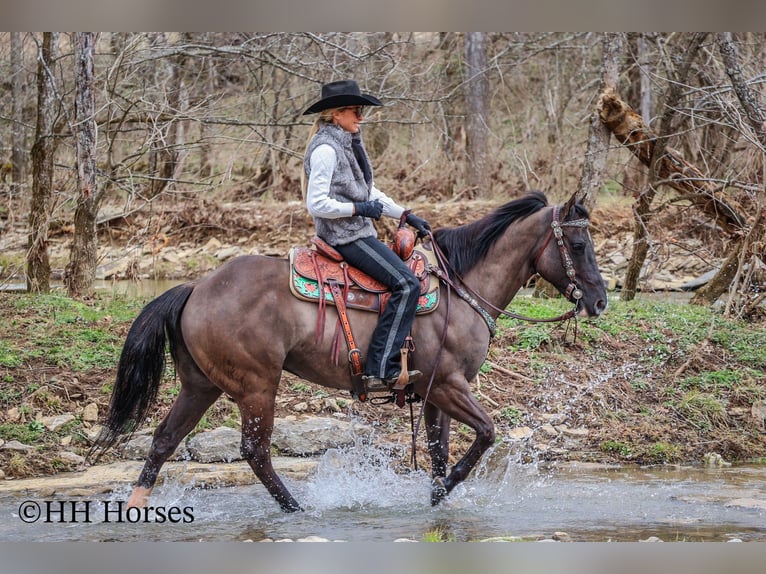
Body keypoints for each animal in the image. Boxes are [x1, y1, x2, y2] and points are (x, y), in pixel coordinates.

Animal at [91, 190, 607, 512]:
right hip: (257, 387)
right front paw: (445, 487)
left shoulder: (436, 394)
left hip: (201, 386)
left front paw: (437, 497)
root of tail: (196, 287)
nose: (600, 301)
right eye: (578, 243)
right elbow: (485, 434)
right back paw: (298, 510)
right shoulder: (448, 385)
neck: (461, 289)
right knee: (255, 452)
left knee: (164, 440)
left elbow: (440, 450)